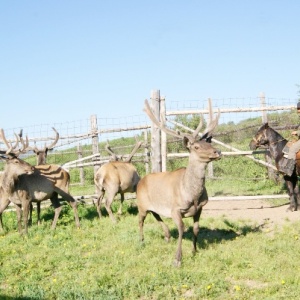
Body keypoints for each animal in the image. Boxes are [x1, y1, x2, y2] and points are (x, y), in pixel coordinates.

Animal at [137, 99, 221, 268]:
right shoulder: (175, 208)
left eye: (209, 143)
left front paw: (194, 250)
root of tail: (140, 181)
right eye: (196, 146)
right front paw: (177, 259)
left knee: (156, 215)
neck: (192, 195)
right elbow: (182, 229)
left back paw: (167, 236)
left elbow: (196, 229)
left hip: (155, 205)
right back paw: (141, 241)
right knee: (141, 221)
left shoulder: (200, 208)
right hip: (141, 204)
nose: (218, 152)